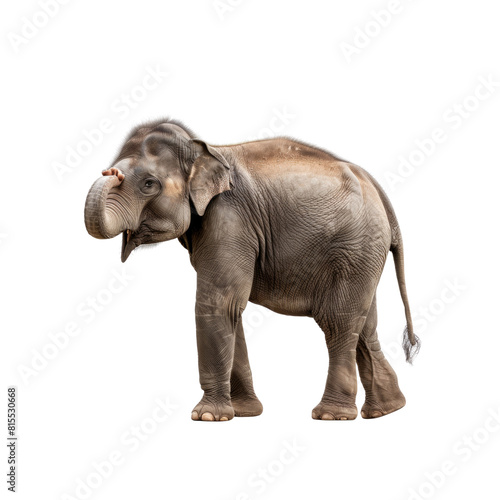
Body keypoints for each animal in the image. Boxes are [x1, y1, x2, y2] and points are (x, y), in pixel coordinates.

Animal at [84, 119, 420, 420]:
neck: (203, 150)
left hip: (355, 247)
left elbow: (219, 303)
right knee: (364, 326)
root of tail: (378, 189)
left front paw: (207, 416)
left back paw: (332, 415)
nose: (109, 172)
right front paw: (244, 413)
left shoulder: (230, 218)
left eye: (148, 184)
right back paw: (386, 410)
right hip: (363, 255)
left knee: (337, 321)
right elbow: (233, 310)